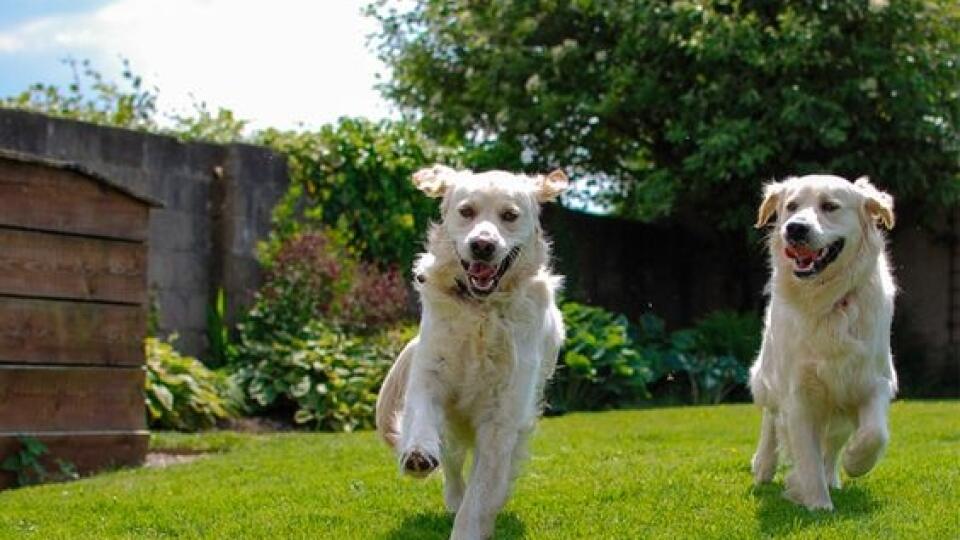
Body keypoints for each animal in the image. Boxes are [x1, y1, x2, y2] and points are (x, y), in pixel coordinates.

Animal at [376, 165, 568, 540]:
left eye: (509, 215)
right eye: (466, 211)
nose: (482, 246)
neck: (481, 309)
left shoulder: (501, 418)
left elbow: (480, 494)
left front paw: (470, 525)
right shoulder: (430, 374)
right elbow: (422, 416)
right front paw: (418, 453)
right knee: (452, 464)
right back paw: (450, 492)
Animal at [752, 174, 896, 510]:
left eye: (830, 206)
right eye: (791, 206)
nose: (795, 228)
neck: (827, 301)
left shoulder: (875, 380)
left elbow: (875, 433)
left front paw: (856, 461)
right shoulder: (798, 395)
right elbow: (807, 457)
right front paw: (819, 505)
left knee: (833, 442)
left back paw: (834, 475)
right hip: (766, 376)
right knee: (770, 418)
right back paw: (764, 465)